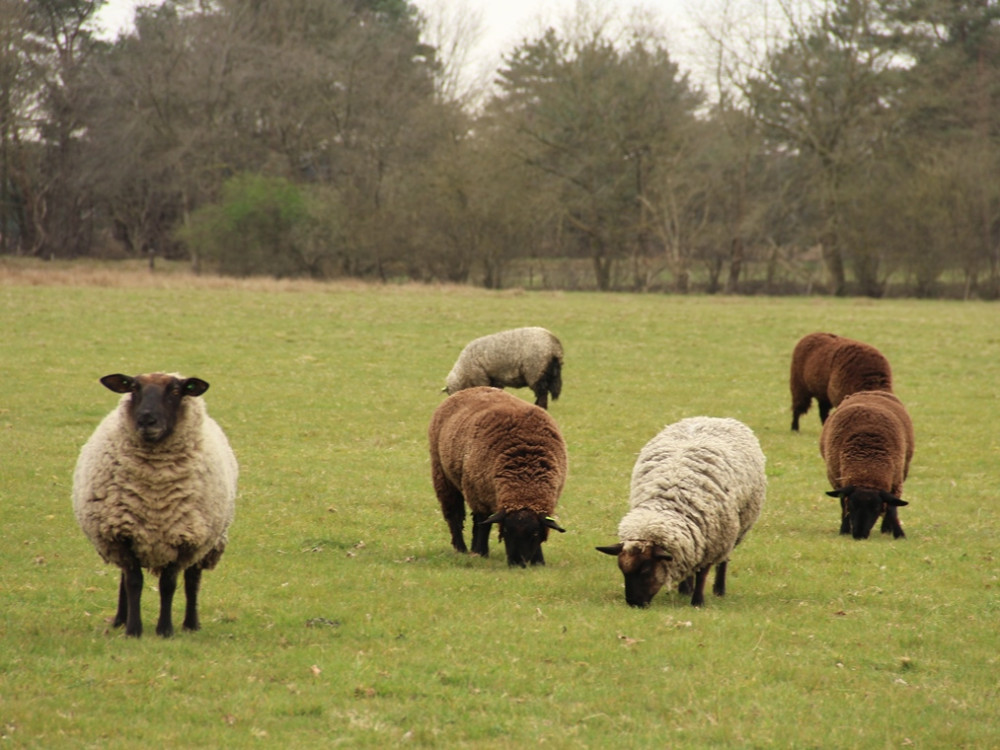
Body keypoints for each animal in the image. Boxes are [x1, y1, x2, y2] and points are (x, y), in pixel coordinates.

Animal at [71, 374, 239, 636]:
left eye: (176, 391)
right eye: (134, 388)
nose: (146, 419)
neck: (154, 488)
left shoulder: (183, 538)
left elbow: (169, 584)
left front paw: (165, 629)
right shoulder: (122, 534)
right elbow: (133, 582)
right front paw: (133, 629)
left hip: (206, 541)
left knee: (193, 579)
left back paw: (191, 624)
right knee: (124, 578)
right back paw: (120, 619)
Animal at [430, 388, 572, 568]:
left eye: (534, 533)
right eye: (505, 531)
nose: (518, 564)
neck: (525, 483)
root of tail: (468, 389)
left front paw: (539, 561)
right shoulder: (478, 494)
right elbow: (483, 525)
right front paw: (480, 552)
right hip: (443, 476)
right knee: (454, 515)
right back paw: (461, 548)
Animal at [596, 420, 768, 608]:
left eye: (646, 570)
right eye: (622, 570)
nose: (634, 604)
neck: (668, 502)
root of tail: (712, 418)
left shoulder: (713, 541)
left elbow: (703, 573)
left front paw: (697, 601)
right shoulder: (694, 538)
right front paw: (686, 590)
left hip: (735, 528)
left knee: (724, 559)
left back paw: (719, 590)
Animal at [820, 390, 916, 544]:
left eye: (876, 508)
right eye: (852, 505)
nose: (859, 536)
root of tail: (870, 391)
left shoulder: (896, 482)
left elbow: (892, 509)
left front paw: (898, 533)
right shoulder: (838, 481)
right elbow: (843, 505)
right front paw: (844, 530)